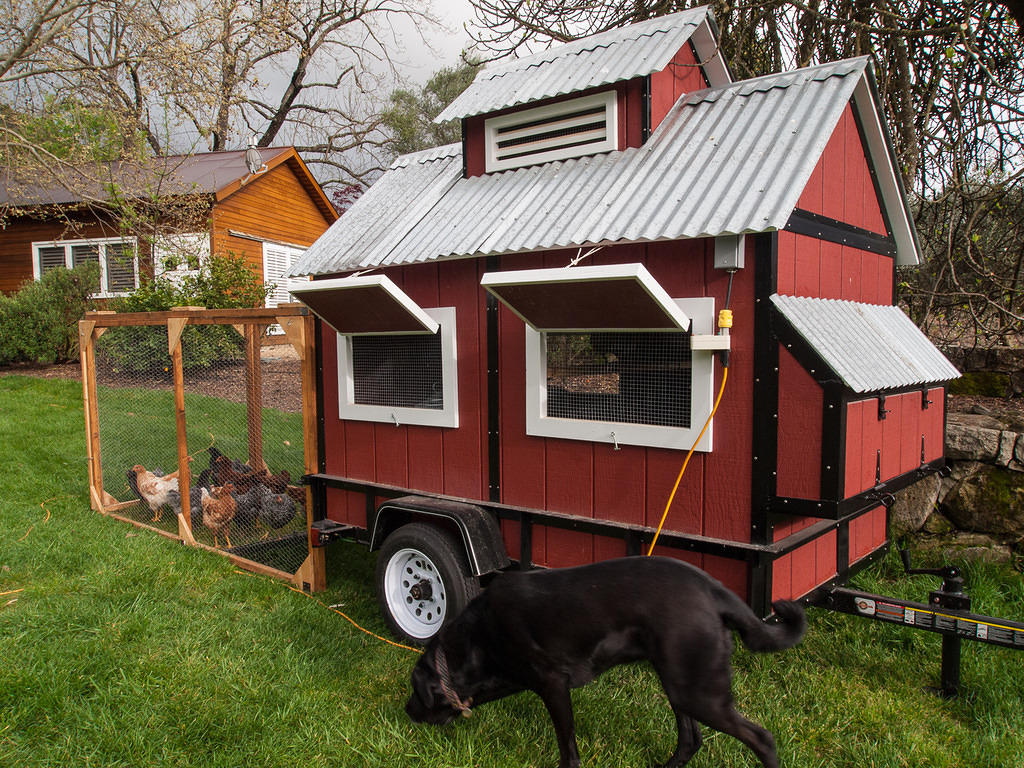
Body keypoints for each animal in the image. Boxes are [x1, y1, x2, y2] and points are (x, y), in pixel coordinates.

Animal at [403, 561, 802, 768]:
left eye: (415, 692)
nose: (405, 711)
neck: (479, 637)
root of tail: (713, 588)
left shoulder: (553, 685)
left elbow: (568, 749)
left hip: (699, 691)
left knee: (762, 738)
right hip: (679, 682)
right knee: (691, 739)